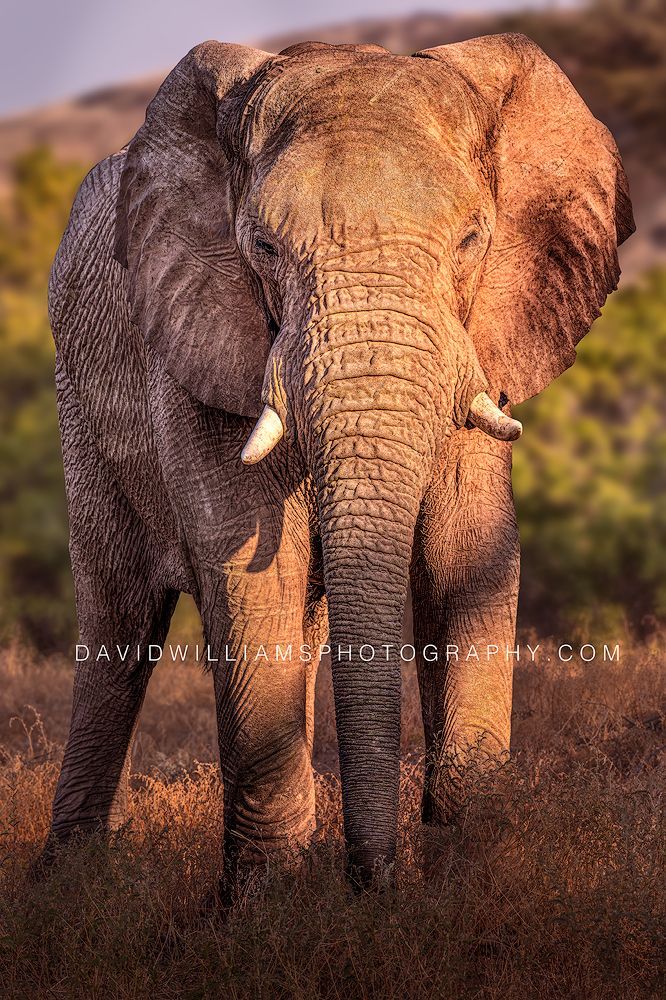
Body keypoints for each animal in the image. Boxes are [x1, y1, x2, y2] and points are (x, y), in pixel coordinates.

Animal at [47, 34, 633, 890]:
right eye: (262, 247)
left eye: (472, 240)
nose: (373, 885)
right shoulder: (198, 334)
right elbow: (254, 567)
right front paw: (265, 908)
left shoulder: (478, 340)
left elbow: (464, 552)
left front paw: (472, 875)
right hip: (79, 405)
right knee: (118, 624)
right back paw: (68, 887)